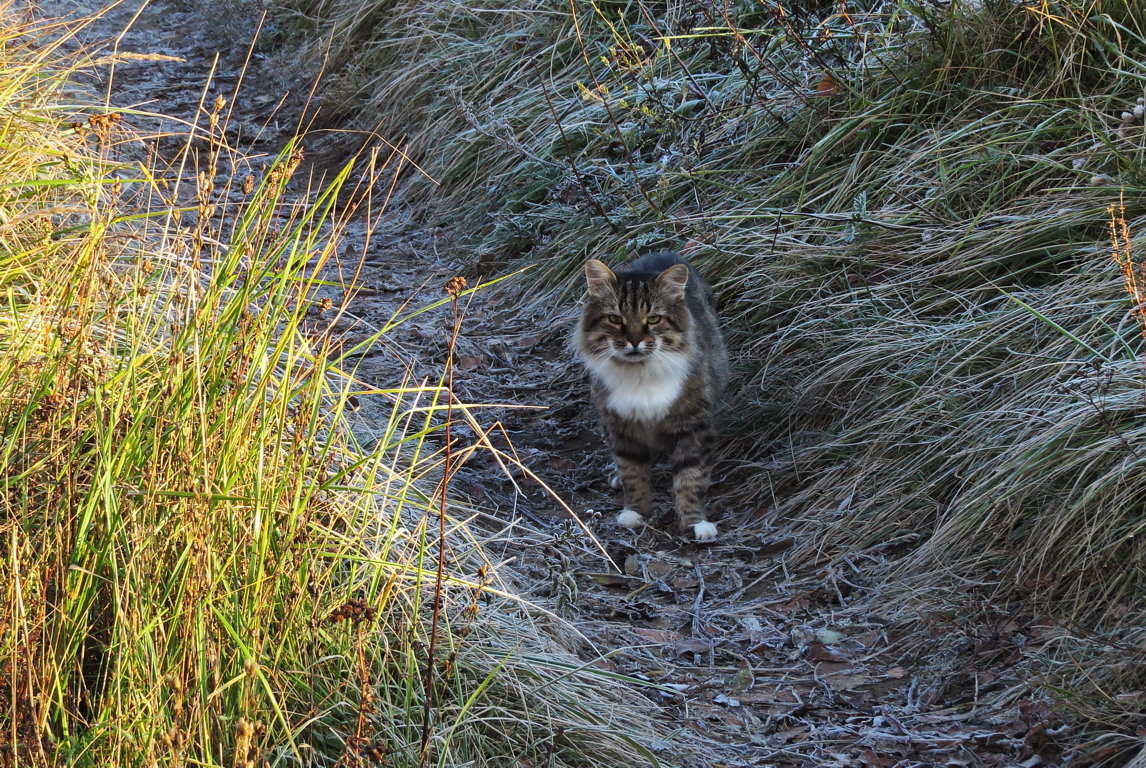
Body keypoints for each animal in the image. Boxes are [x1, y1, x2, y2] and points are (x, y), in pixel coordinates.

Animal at [577, 252, 728, 541]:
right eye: (615, 319)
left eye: (654, 319)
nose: (635, 341)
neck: (640, 373)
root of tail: (665, 252)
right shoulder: (621, 425)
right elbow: (633, 473)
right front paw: (635, 513)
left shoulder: (694, 426)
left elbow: (690, 478)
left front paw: (694, 523)